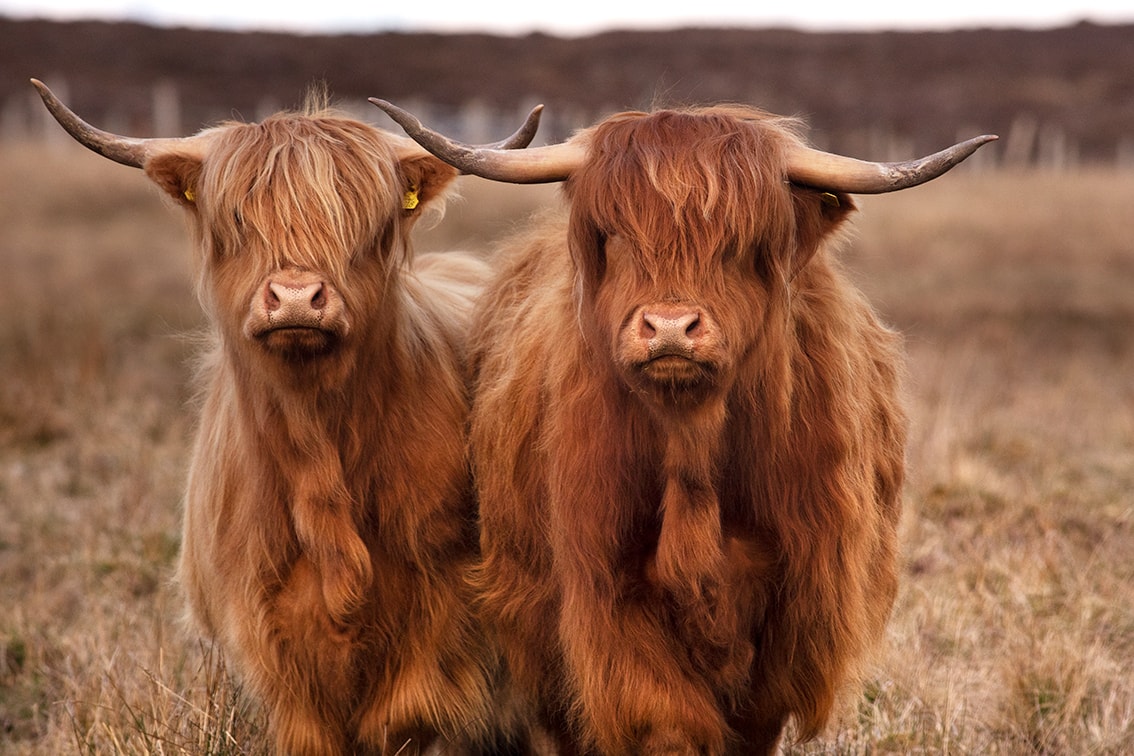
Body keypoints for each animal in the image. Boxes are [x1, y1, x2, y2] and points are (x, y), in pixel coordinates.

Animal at [37, 79, 542, 752]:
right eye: (237, 218)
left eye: (364, 222)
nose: (298, 297)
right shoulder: (272, 648)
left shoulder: (440, 630)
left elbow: (404, 720)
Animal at [376, 97, 997, 752]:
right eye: (617, 235)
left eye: (741, 243)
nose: (670, 327)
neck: (693, 452)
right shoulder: (612, 600)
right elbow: (666, 722)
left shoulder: (796, 611)